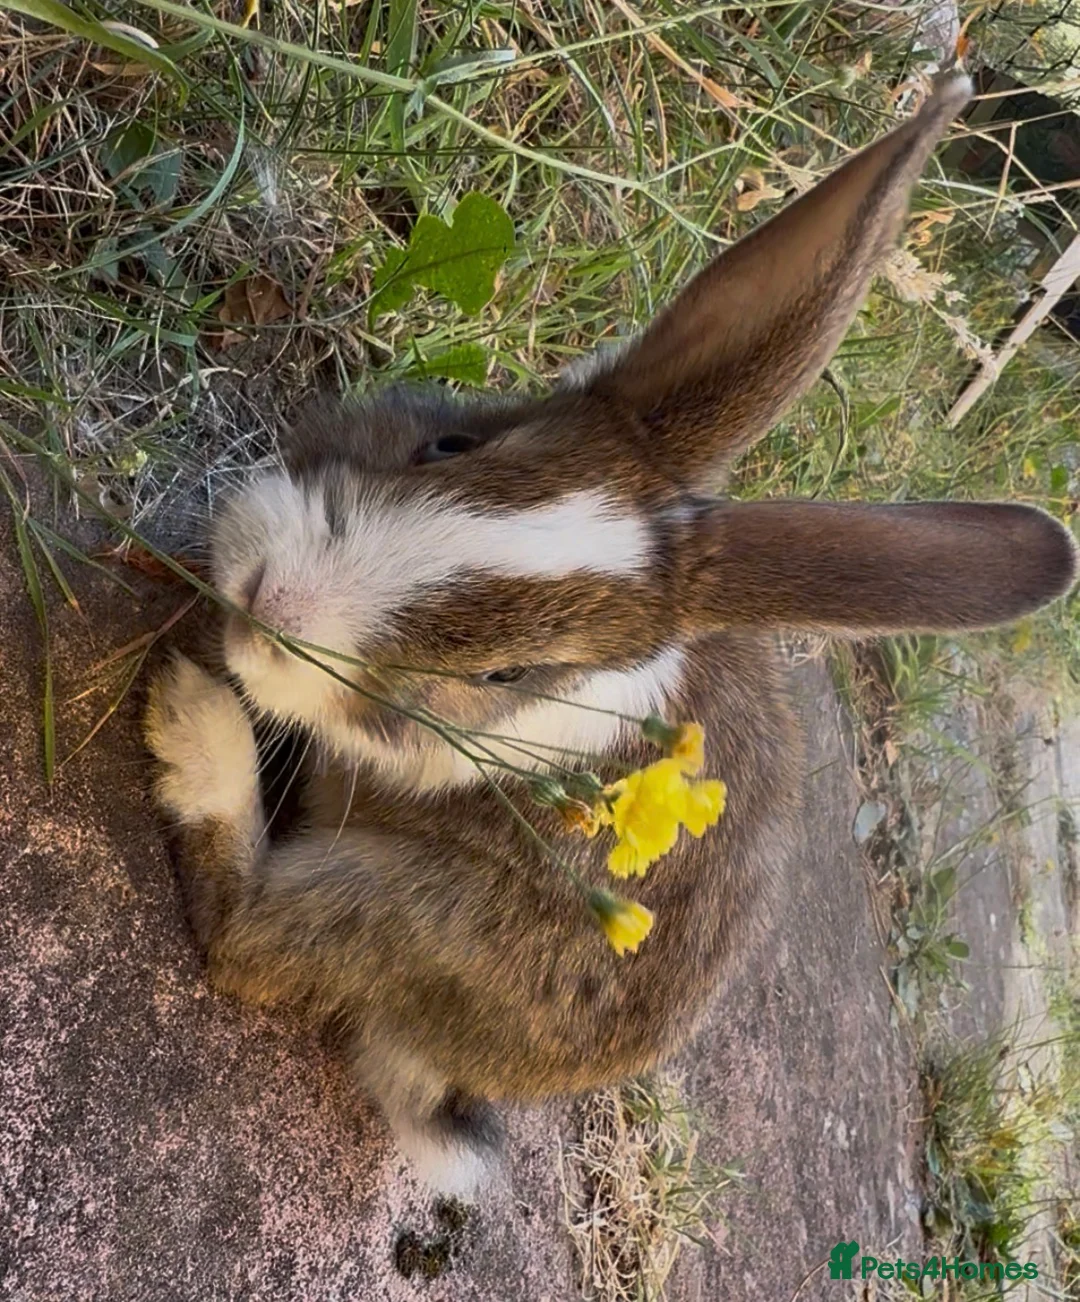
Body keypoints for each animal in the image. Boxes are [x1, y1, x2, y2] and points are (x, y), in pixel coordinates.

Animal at [144, 74, 1076, 1197]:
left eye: (508, 674)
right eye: (449, 443)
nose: (271, 600)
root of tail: (452, 1065)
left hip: (409, 906)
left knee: (245, 943)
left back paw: (193, 726)